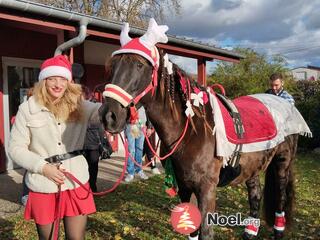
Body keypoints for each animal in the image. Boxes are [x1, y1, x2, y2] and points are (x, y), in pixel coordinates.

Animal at [99, 49, 304, 239]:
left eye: (139, 65)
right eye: (112, 66)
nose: (108, 116)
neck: (192, 130)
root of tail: (286, 103)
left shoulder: (207, 189)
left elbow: (206, 232)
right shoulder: (184, 186)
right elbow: (193, 230)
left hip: (282, 165)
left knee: (280, 200)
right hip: (252, 168)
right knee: (255, 197)